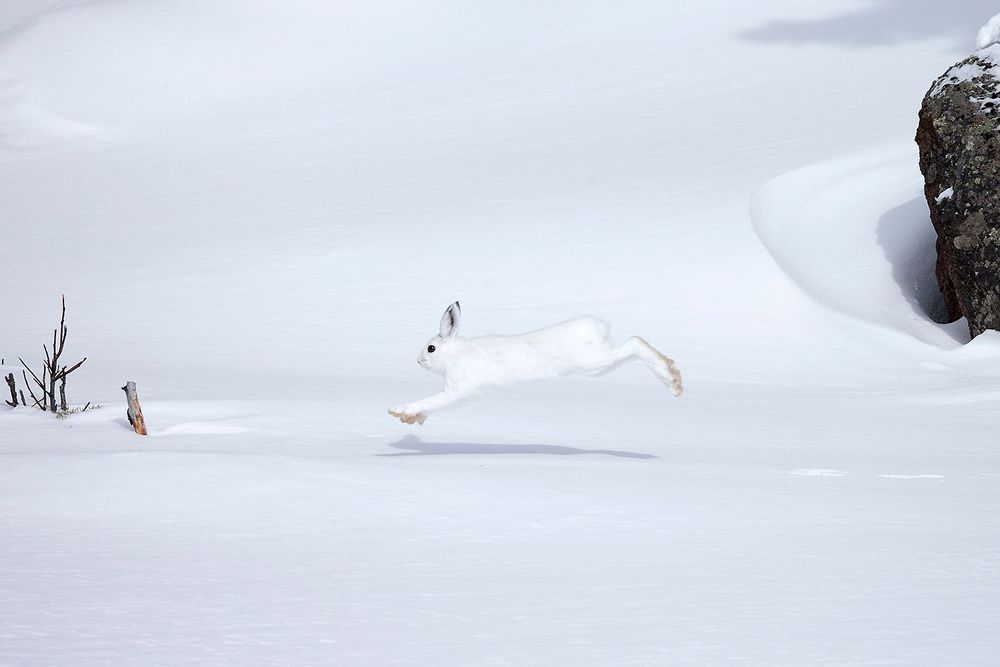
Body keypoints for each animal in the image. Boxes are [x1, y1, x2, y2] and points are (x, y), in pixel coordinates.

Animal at [389, 302, 683, 425]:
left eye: (431, 348)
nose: (418, 360)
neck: (456, 353)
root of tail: (596, 327)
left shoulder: (459, 388)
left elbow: (434, 401)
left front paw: (399, 411)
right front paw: (412, 420)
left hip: (594, 362)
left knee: (635, 342)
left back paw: (672, 378)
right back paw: (671, 380)